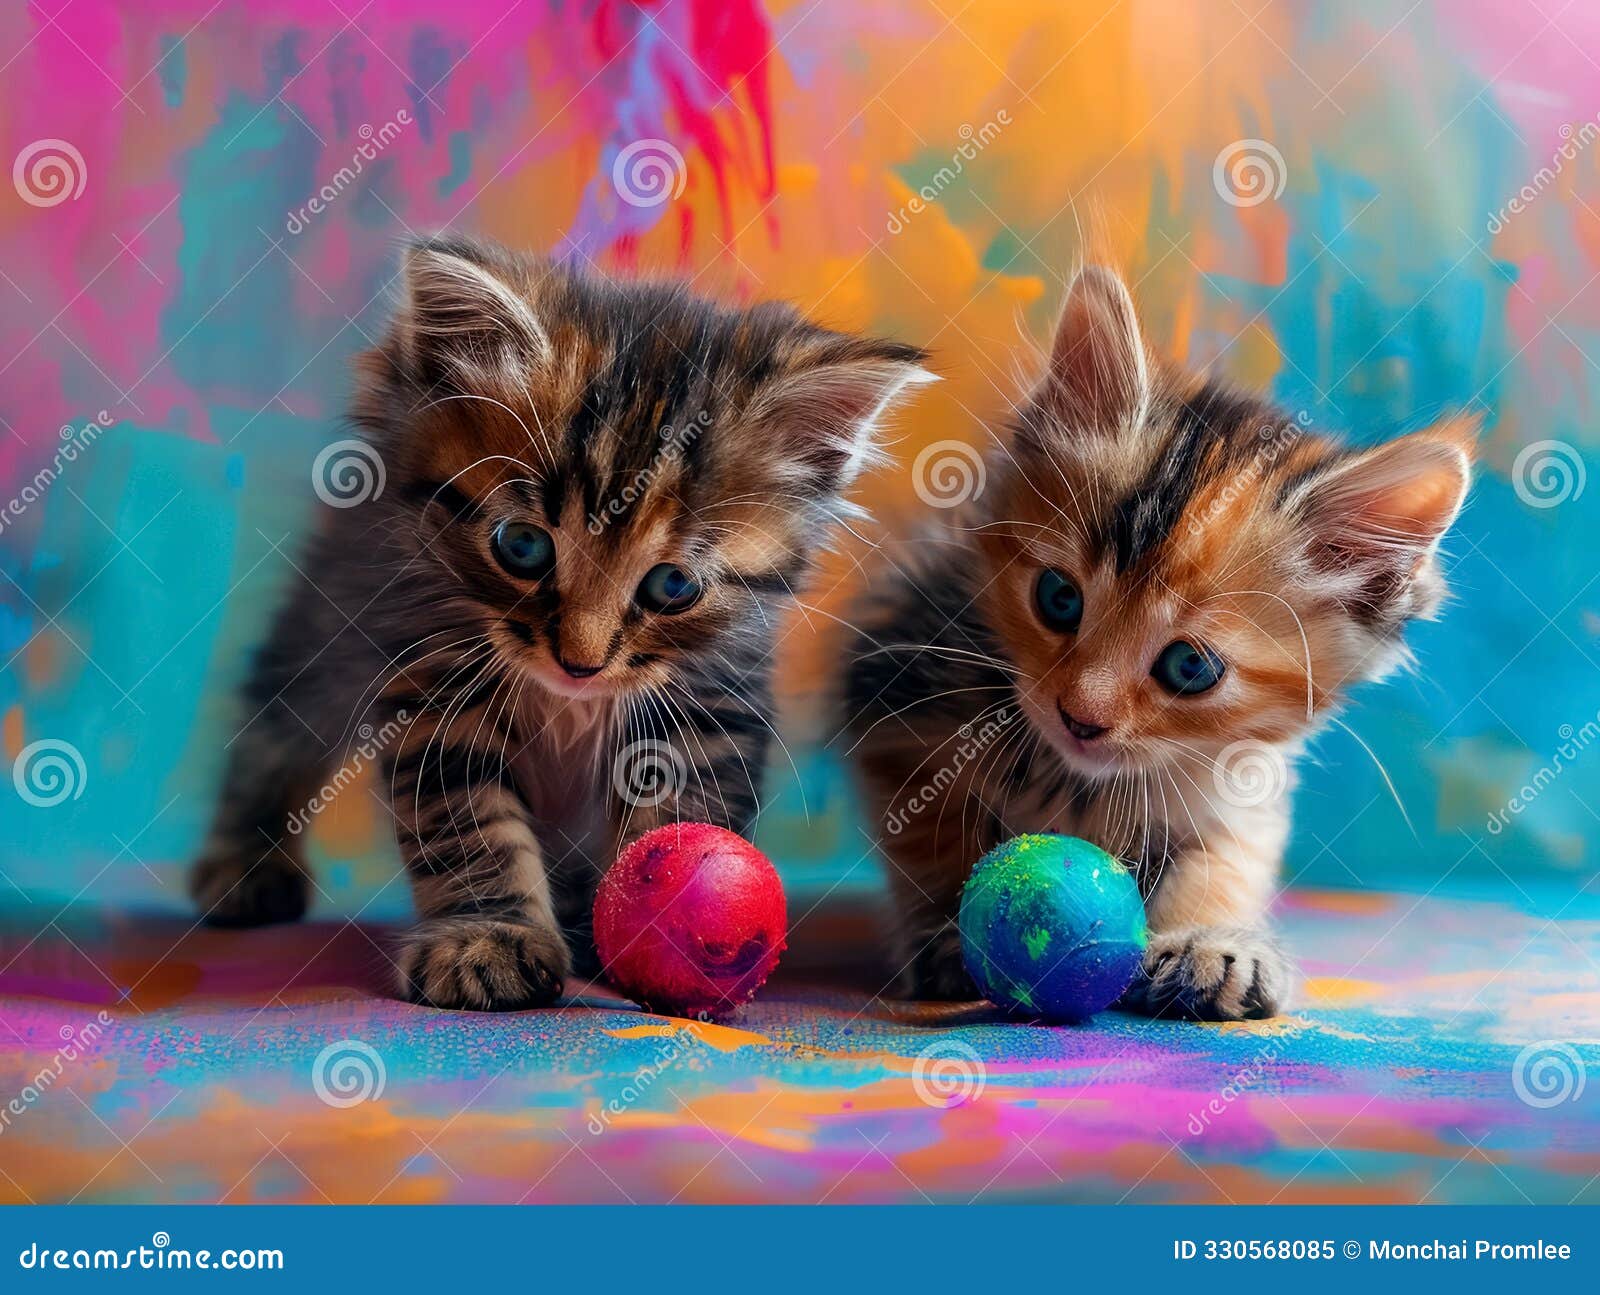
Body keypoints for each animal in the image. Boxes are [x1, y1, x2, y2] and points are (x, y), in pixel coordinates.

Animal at [193, 236, 934, 1018]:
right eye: (522, 547)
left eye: (673, 586)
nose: (580, 663)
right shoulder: (433, 679)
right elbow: (468, 825)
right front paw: (487, 940)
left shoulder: (709, 696)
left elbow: (675, 820)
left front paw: (667, 936)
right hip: (331, 615)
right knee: (277, 725)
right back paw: (244, 864)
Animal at [844, 265, 1465, 1018]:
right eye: (1058, 598)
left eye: (1190, 666)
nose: (1079, 718)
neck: (1076, 779)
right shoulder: (896, 693)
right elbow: (931, 829)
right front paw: (947, 932)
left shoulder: (1241, 786)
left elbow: (1223, 861)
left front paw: (1208, 941)